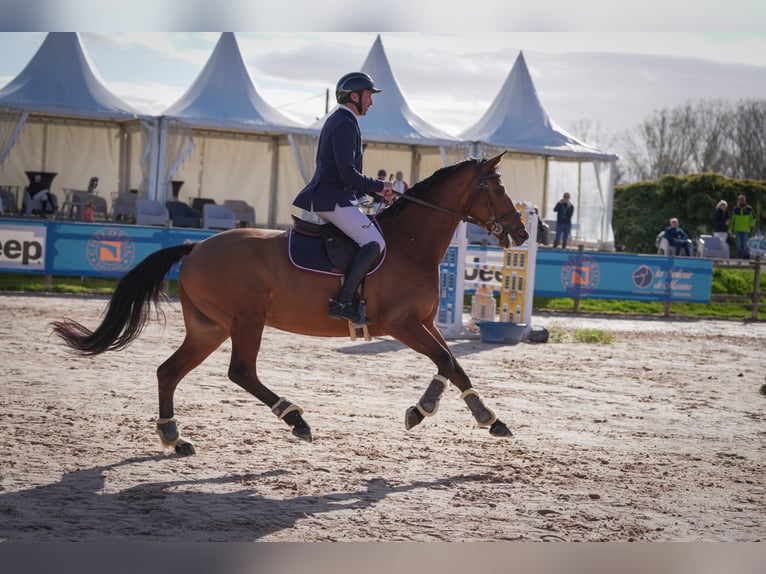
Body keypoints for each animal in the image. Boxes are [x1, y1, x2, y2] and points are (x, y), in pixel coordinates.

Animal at [52, 151, 528, 456]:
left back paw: (175, 438)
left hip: (209, 327)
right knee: (240, 372)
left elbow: (454, 362)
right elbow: (444, 362)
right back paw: (295, 419)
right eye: (498, 187)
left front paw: (489, 418)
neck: (410, 244)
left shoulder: (426, 322)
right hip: (246, 320)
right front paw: (422, 410)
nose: (521, 234)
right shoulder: (402, 324)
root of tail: (196, 247)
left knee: (169, 371)